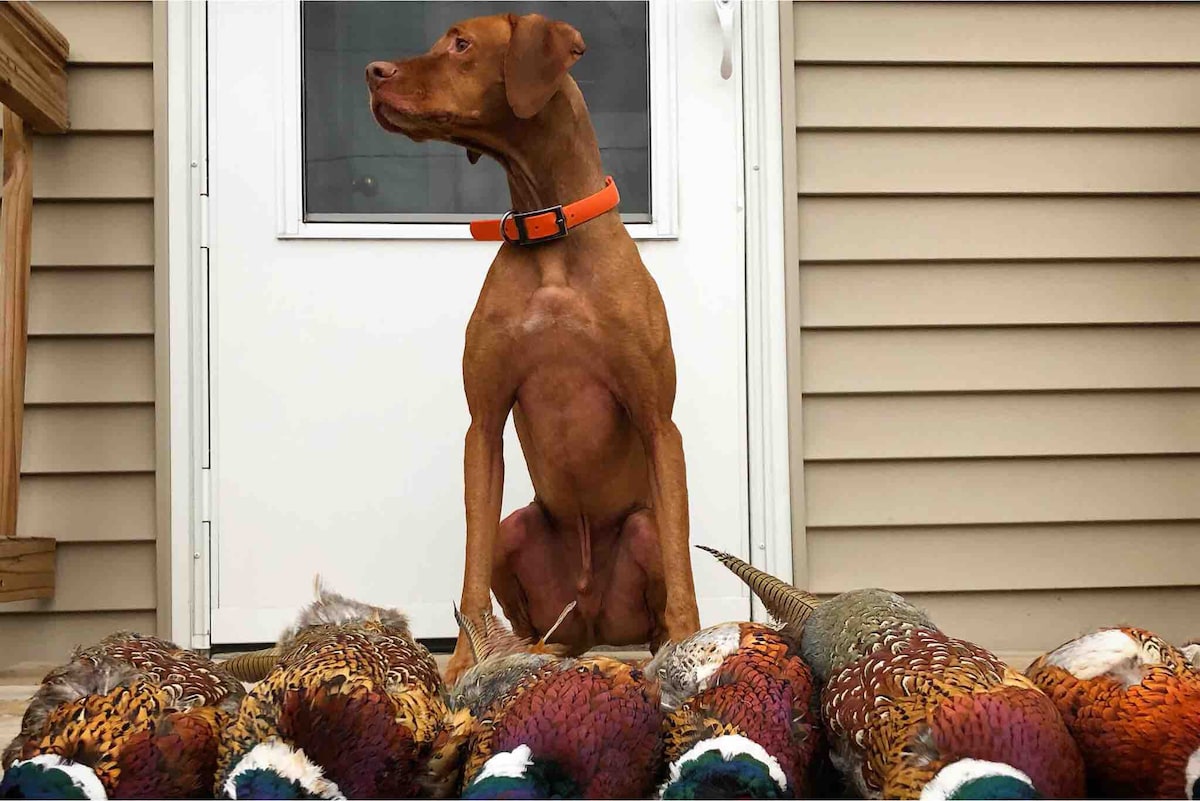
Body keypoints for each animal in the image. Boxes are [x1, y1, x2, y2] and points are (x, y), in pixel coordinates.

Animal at [367, 12, 700, 681]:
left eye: (461, 43)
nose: (372, 72)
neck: (548, 230)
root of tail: (592, 627)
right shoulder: (484, 425)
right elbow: (469, 571)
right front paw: (464, 665)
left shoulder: (659, 423)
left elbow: (683, 567)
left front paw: (693, 648)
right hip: (515, 531)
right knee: (515, 579)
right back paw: (524, 651)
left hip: (641, 534)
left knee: (656, 564)